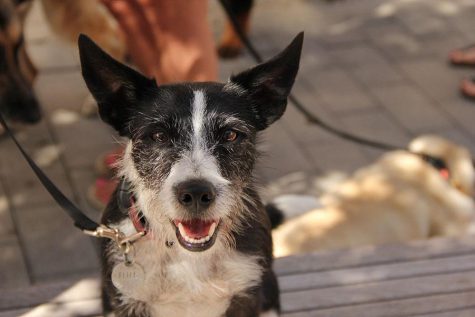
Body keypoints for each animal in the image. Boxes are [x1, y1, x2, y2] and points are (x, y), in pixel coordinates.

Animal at [77, 30, 302, 314]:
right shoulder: (126, 302)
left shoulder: (247, 293)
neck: (184, 254)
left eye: (230, 135)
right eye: (159, 136)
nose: (196, 193)